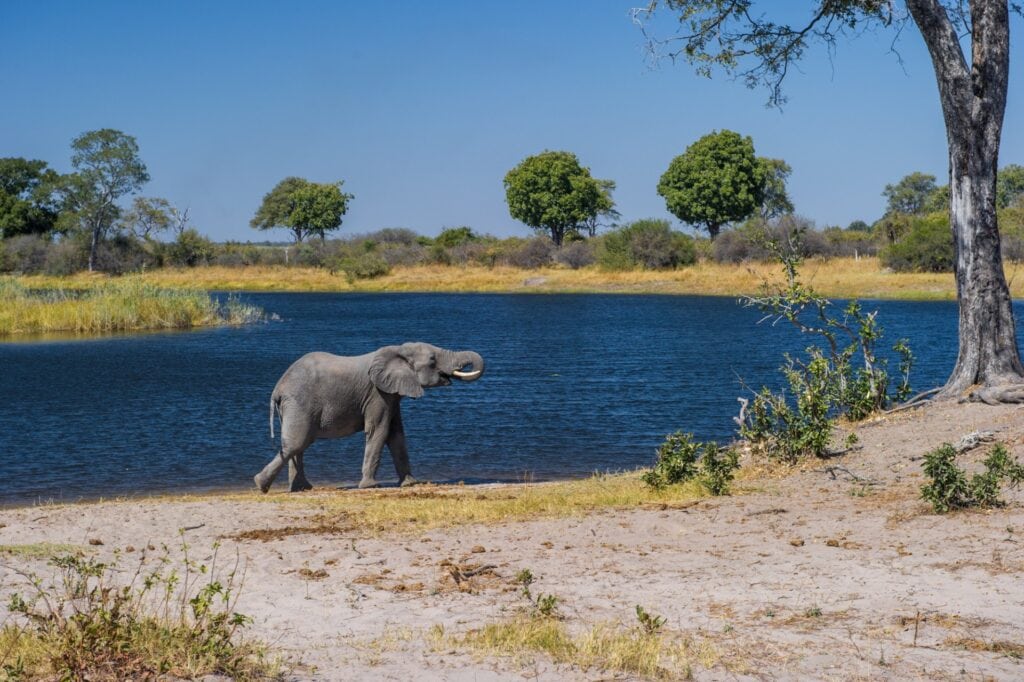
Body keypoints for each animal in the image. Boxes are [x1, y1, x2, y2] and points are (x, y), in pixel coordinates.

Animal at [254, 342, 484, 493]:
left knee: (298, 446)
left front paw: (410, 484)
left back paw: (302, 489)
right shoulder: (377, 394)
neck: (398, 351)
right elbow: (379, 431)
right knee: (297, 443)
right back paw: (260, 485)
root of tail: (278, 388)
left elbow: (396, 435)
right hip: (299, 403)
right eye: (432, 360)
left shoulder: (391, 395)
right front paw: (371, 486)